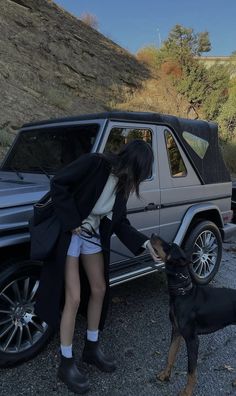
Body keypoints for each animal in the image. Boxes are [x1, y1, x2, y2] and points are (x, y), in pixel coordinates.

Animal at [150, 235, 236, 396]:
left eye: (169, 246)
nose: (152, 235)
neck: (183, 293)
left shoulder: (192, 340)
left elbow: (191, 370)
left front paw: (187, 391)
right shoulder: (176, 332)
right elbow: (170, 355)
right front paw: (165, 375)